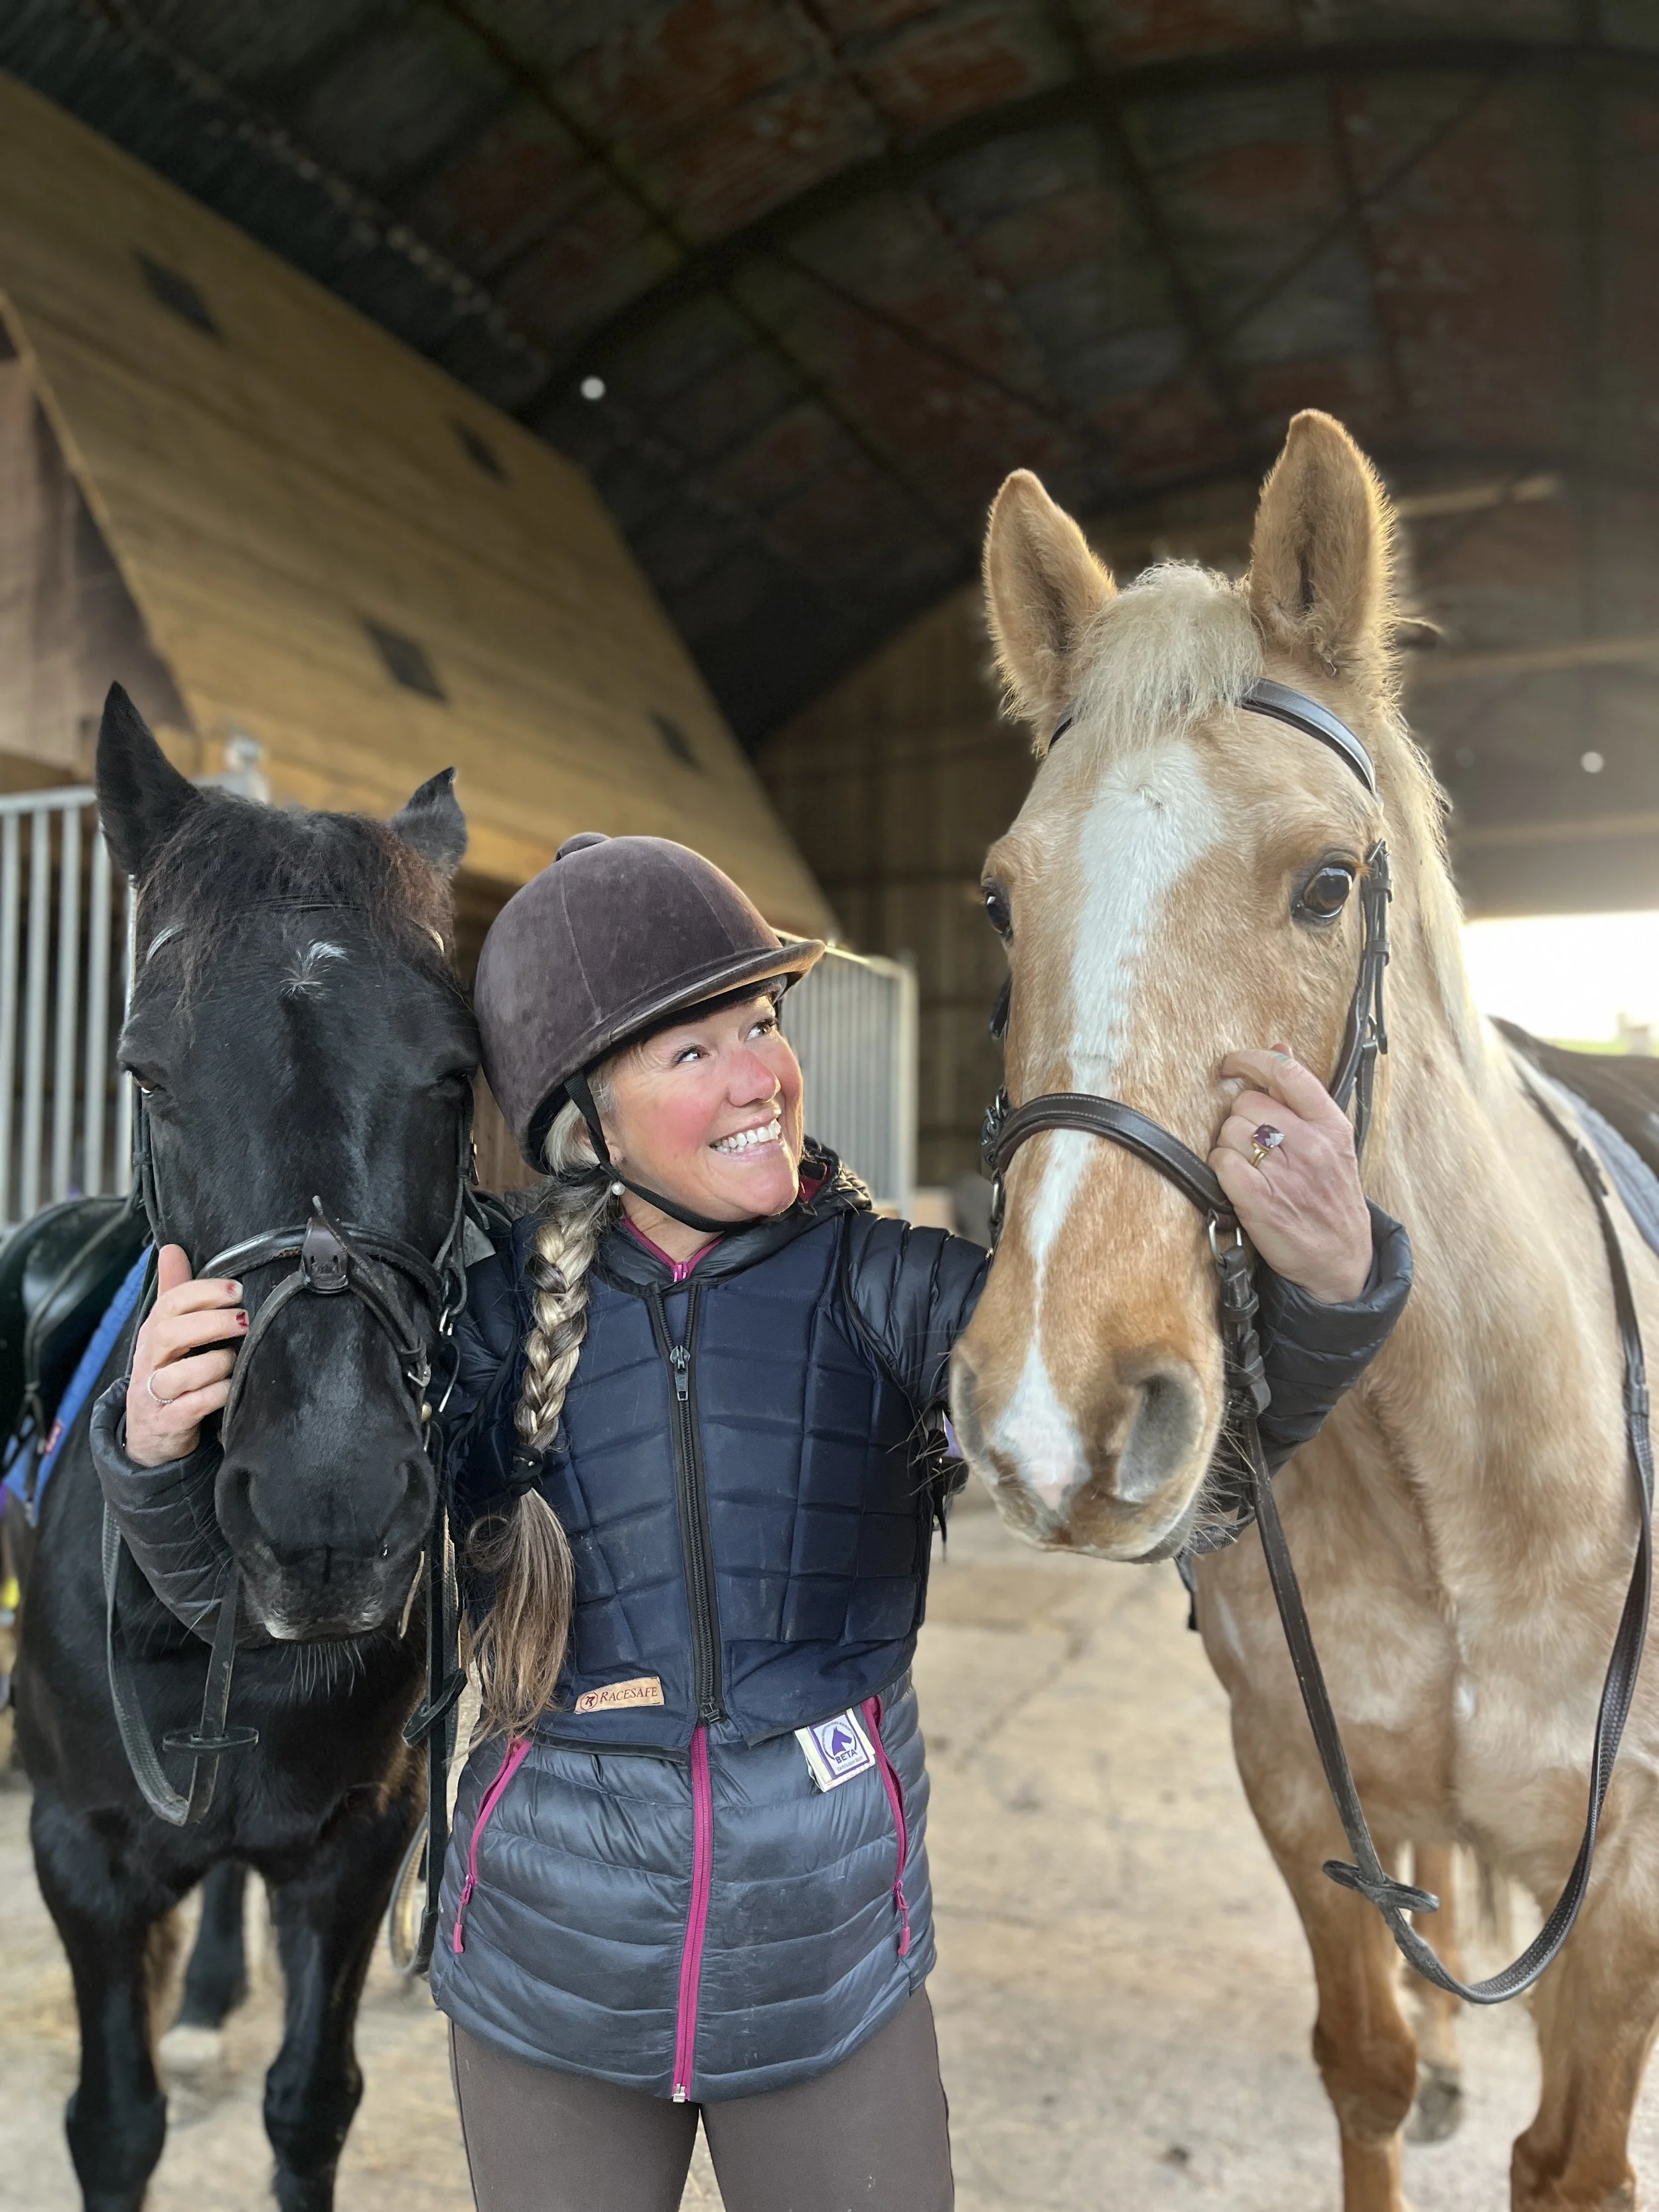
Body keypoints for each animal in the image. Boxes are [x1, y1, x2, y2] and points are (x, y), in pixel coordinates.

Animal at [10, 686, 478, 2212]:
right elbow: (113, 2122)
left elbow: (309, 2101)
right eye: (144, 1070)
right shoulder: (80, 1852)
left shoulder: (354, 1843)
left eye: (456, 1073)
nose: (328, 1512)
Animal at [950, 410, 1659, 2212]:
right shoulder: (1293, 1785)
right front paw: (1421, 2060)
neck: (1468, 1466)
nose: (1053, 1417)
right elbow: (1364, 2064)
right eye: (1000, 900)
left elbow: (1572, 2159)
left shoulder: (1624, 1875)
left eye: (1329, 883)